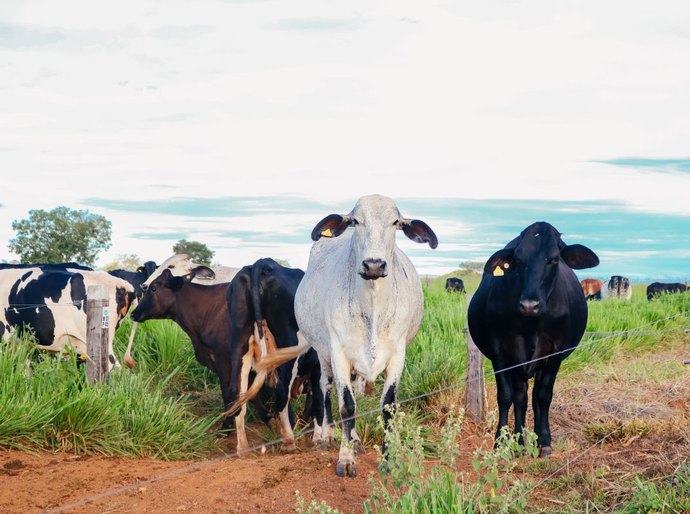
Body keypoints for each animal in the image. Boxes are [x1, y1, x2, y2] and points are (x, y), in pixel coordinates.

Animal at [226, 256, 322, 452]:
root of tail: (263, 263)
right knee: (281, 389)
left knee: (236, 390)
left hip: (240, 342)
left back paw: (243, 447)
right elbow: (320, 398)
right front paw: (320, 437)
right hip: (290, 346)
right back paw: (288, 440)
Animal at [468, 220, 596, 456]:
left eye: (554, 258)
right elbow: (506, 396)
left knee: (534, 397)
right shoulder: (500, 352)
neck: (531, 325)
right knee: (521, 397)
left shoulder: (555, 352)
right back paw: (519, 442)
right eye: (518, 260)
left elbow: (544, 396)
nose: (530, 305)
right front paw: (501, 441)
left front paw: (544, 440)